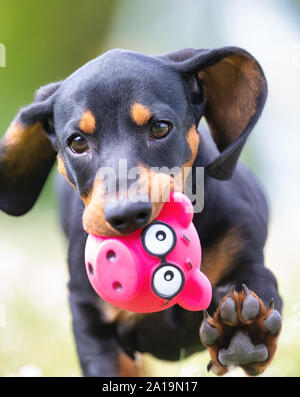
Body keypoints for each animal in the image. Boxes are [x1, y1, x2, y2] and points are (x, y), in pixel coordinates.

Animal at [0, 46, 282, 374]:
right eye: (77, 142)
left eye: (160, 127)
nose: (127, 215)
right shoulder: (90, 318)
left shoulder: (250, 262)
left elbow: (258, 290)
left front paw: (244, 333)